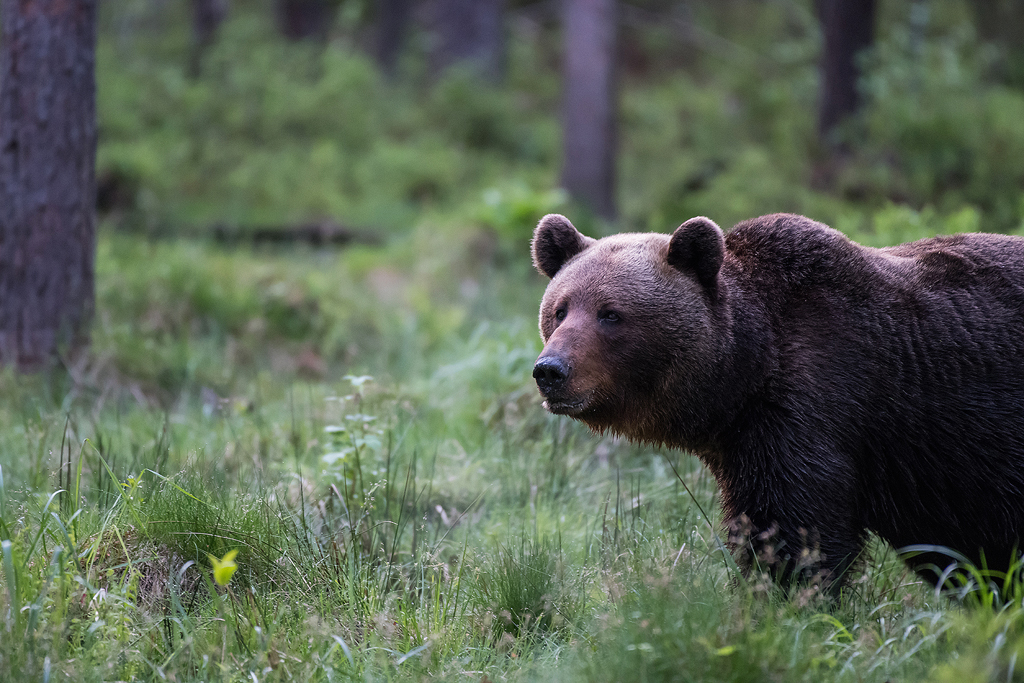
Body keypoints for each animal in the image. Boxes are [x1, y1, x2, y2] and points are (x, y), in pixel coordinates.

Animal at [531, 211, 1024, 591]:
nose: (550, 370)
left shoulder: (817, 403)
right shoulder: (746, 442)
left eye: (610, 314)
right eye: (560, 309)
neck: (745, 374)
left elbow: (795, 530)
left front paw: (787, 600)